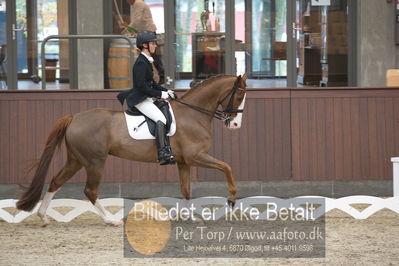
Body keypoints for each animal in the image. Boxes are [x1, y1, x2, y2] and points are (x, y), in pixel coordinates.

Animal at [17, 74, 248, 225]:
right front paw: (231, 199)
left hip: (76, 160)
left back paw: (43, 217)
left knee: (56, 181)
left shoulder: (184, 162)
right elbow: (226, 167)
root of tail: (74, 117)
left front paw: (192, 216)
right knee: (90, 190)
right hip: (94, 161)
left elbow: (186, 190)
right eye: (239, 97)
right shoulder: (196, 156)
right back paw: (111, 220)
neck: (193, 114)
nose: (235, 125)